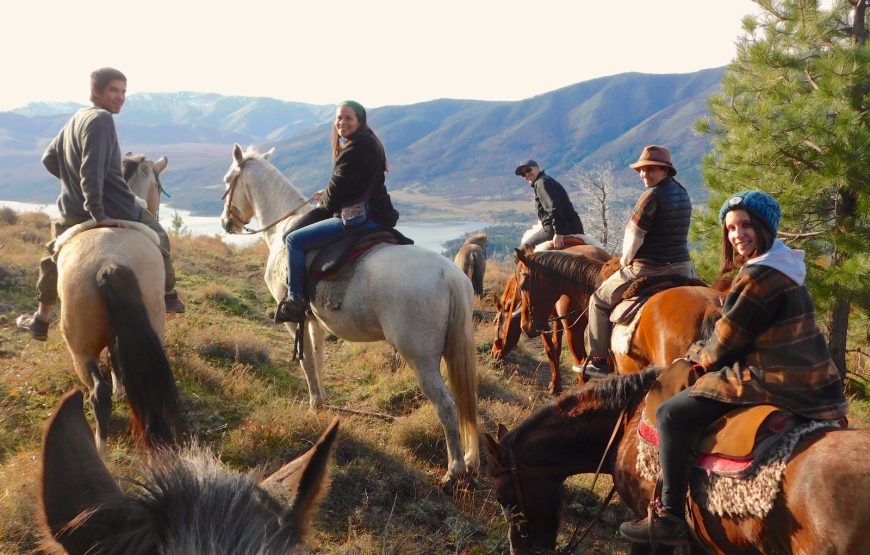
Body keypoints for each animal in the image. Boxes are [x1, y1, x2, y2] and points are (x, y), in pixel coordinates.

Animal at [55, 224, 181, 454]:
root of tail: (109, 263)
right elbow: (116, 357)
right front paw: (120, 389)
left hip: (81, 353)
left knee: (99, 395)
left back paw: (100, 448)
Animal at [217, 144, 476, 482]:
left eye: (228, 180)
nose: (225, 223)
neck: (284, 230)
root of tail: (450, 275)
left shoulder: (294, 320)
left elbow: (305, 362)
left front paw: (313, 403)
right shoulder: (312, 320)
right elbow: (316, 358)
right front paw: (321, 403)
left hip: (422, 359)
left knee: (446, 405)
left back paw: (454, 470)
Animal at [490, 247, 612, 396]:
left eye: (496, 322)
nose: (493, 353)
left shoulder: (542, 322)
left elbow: (549, 349)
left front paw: (554, 386)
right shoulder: (556, 320)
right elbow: (556, 347)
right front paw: (556, 382)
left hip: (573, 329)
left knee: (582, 365)